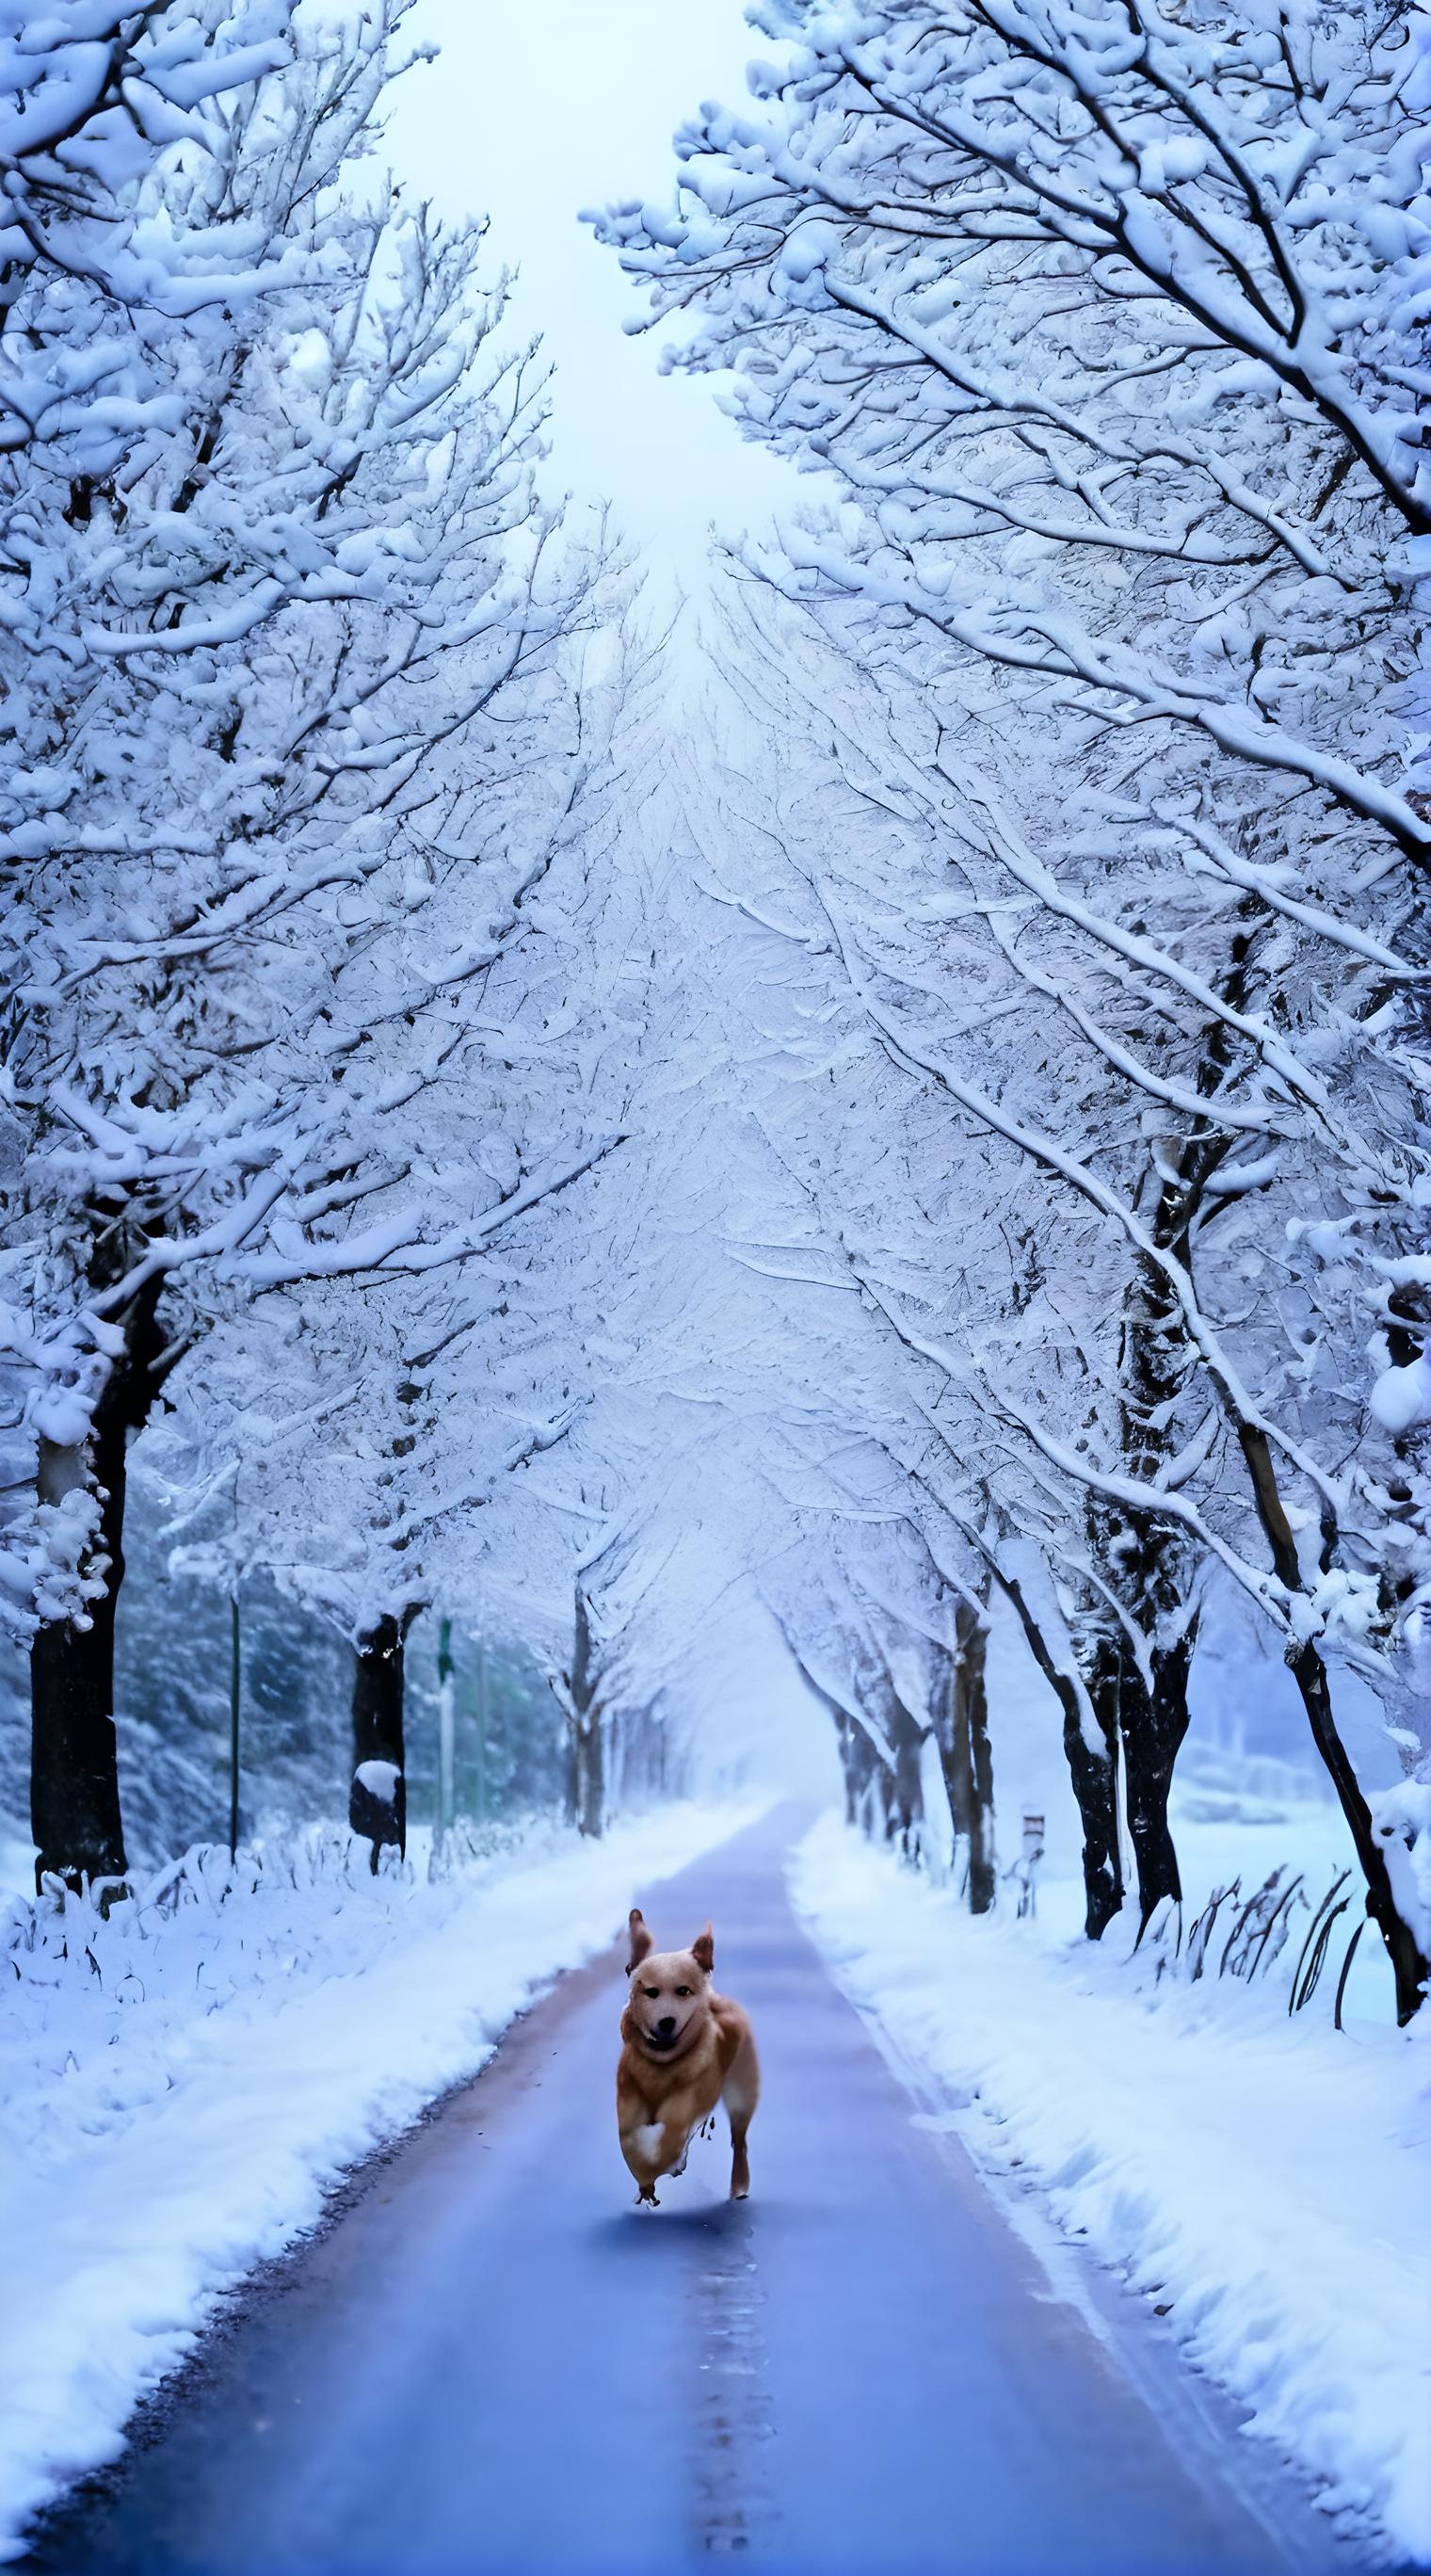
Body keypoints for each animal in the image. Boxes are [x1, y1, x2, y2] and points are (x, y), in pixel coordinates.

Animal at [615, 1906, 762, 2205]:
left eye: (683, 1991)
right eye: (651, 1992)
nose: (666, 2022)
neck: (661, 2065)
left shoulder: (684, 2105)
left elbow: (667, 2140)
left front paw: (664, 2165)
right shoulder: (628, 2102)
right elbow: (630, 2142)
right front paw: (645, 2184)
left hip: (741, 2093)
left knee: (740, 2141)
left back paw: (739, 2184)